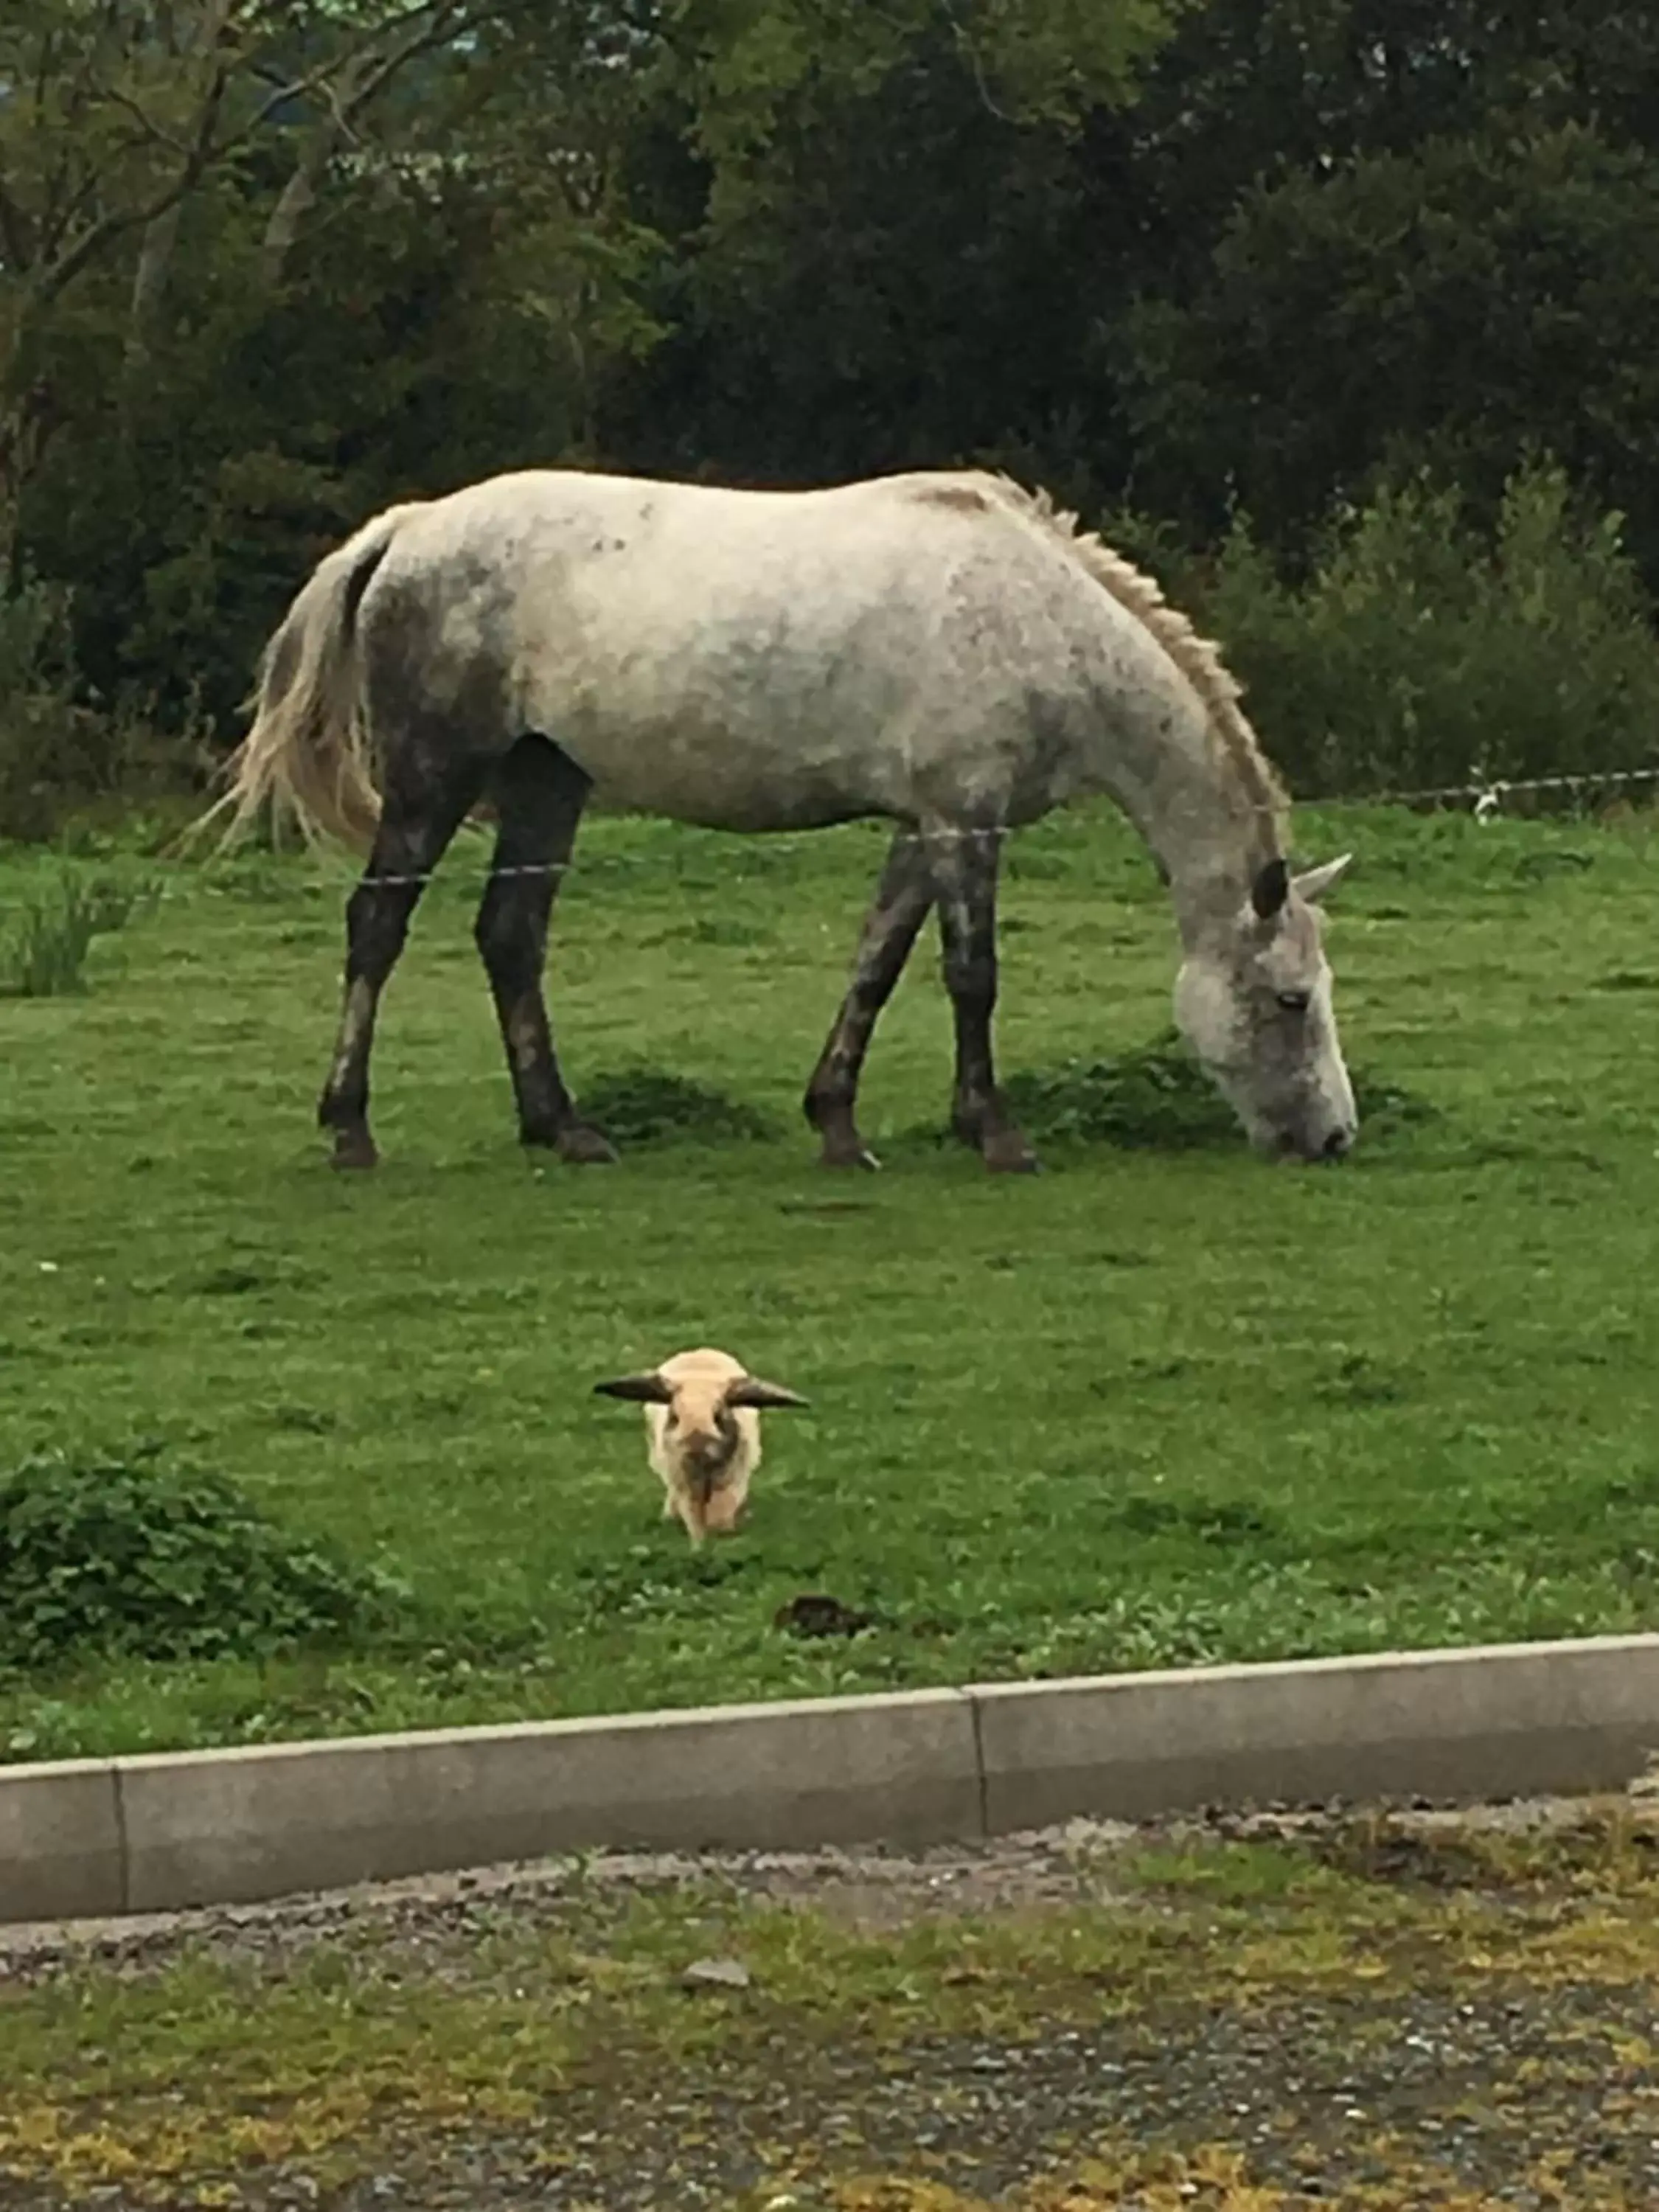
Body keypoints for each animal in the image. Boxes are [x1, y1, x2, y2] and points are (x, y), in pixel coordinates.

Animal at [208, 469, 1354, 1177]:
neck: (1038, 620)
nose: (1335, 1137)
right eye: (1291, 1000)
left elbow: (877, 965)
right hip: (436, 779)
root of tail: (409, 527)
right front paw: (994, 1132)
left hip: (547, 781)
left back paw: (562, 1127)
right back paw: (351, 1129)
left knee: (509, 938)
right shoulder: (965, 820)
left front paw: (838, 1122)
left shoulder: (921, 827)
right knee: (378, 928)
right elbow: (970, 977)